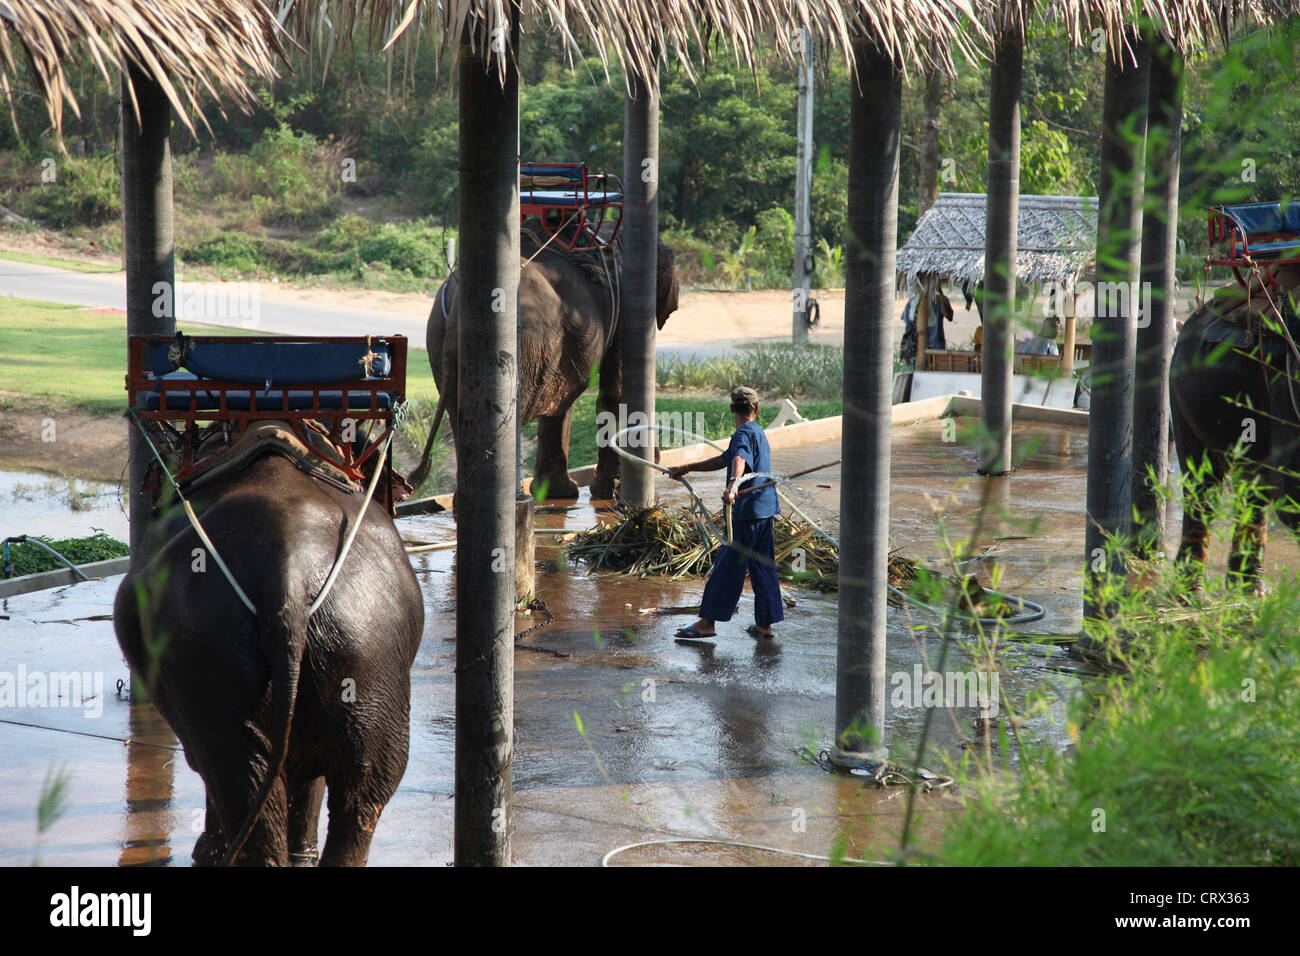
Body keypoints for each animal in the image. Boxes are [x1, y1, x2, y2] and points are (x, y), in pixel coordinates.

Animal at [413, 236, 681, 502]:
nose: (659, 459)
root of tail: (458, 303)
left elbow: (561, 402)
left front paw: (560, 493)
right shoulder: (625, 307)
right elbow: (615, 391)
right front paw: (610, 491)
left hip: (440, 339)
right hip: (517, 346)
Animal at [1170, 287, 1300, 590]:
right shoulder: (1285, 387)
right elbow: (1291, 495)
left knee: (1252, 486)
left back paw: (1248, 589)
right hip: (1182, 393)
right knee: (1203, 485)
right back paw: (1189, 592)